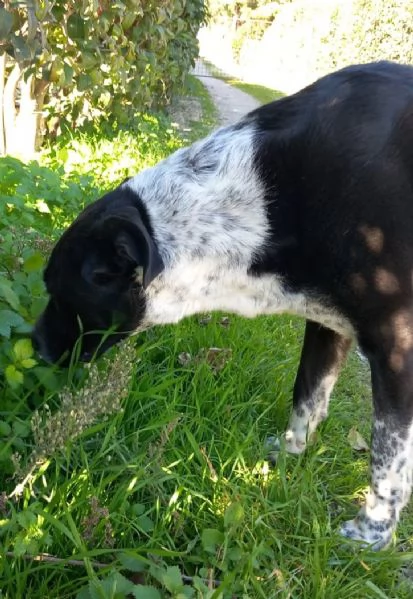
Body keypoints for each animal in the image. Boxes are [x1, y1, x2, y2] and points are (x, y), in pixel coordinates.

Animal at [33, 63, 413, 552]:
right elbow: (307, 397)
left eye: (61, 292)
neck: (260, 203)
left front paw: (371, 534)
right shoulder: (327, 325)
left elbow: (388, 458)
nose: (33, 346)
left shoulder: (396, 347)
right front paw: (287, 456)